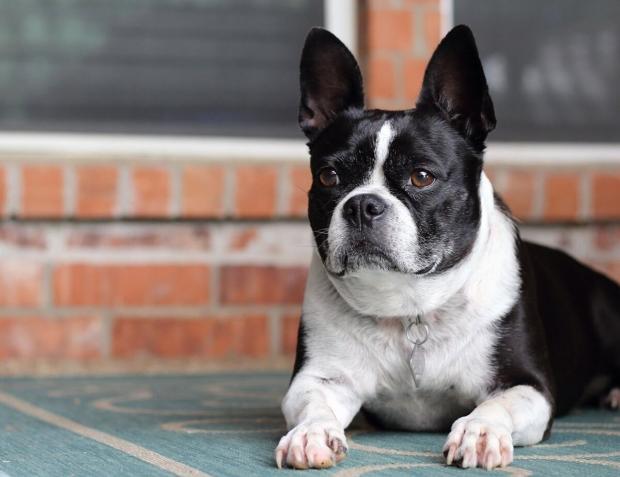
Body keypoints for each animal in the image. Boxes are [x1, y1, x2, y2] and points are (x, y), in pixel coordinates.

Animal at [276, 25, 620, 468]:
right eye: (329, 177)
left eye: (422, 177)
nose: (362, 205)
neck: (410, 309)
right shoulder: (321, 376)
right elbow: (313, 404)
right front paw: (311, 433)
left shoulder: (528, 386)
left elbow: (496, 404)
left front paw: (480, 431)